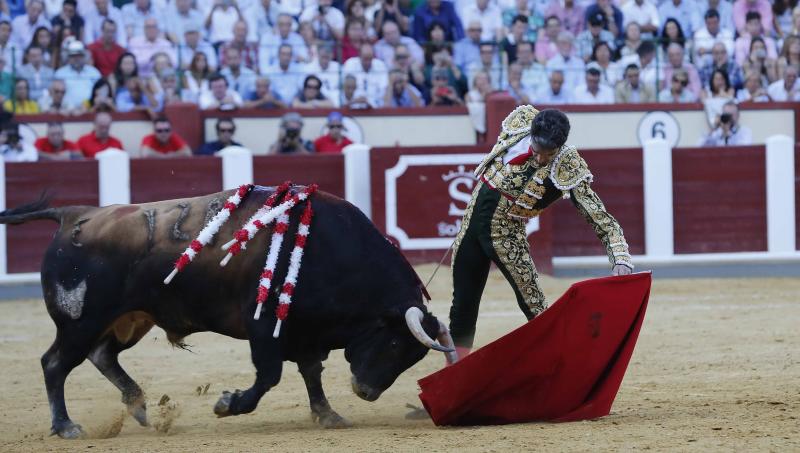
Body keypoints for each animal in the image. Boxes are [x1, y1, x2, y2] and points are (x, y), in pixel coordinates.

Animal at [0, 185, 456, 438]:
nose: (367, 391)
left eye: (411, 354)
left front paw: (328, 415)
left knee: (102, 355)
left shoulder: (304, 331)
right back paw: (66, 426)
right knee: (55, 363)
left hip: (130, 319)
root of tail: (74, 215)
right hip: (81, 321)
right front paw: (227, 404)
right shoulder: (264, 326)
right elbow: (269, 376)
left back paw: (140, 407)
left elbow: (311, 373)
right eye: (395, 344)